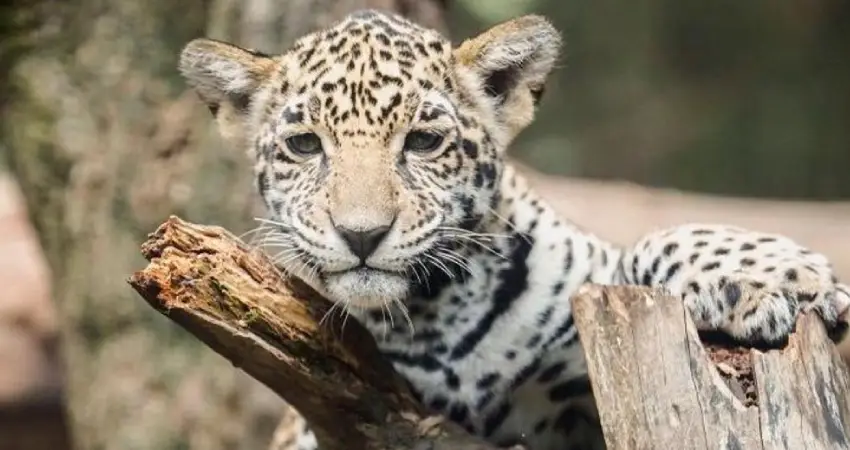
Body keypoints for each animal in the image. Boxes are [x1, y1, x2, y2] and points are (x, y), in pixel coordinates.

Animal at [178, 10, 850, 450]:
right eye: (304, 145)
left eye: (423, 141)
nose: (362, 234)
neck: (435, 320)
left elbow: (645, 248)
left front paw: (785, 277)